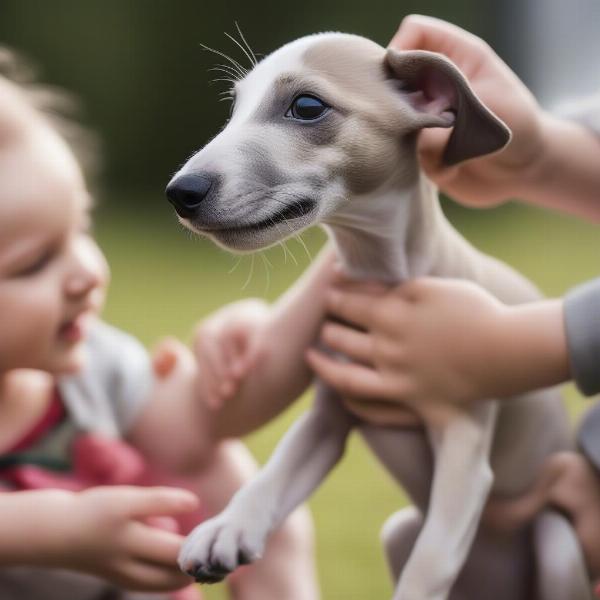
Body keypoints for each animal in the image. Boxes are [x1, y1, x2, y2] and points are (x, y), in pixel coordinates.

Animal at [165, 34, 592, 600]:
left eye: (307, 106)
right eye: (234, 108)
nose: (180, 193)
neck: (381, 270)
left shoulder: (463, 444)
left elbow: (431, 562)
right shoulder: (330, 414)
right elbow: (276, 469)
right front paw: (229, 528)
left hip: (556, 539)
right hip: (398, 533)